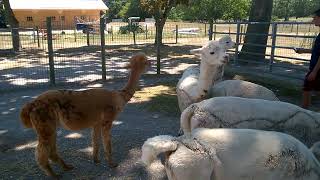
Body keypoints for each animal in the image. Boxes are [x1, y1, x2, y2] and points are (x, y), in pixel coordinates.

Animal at [20, 52, 150, 176]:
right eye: (145, 61)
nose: (151, 63)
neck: (119, 97)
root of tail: (31, 104)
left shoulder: (96, 122)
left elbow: (96, 141)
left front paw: (96, 160)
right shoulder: (107, 120)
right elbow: (107, 144)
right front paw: (112, 164)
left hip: (49, 126)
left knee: (50, 151)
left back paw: (66, 167)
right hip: (45, 123)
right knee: (42, 152)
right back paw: (54, 175)